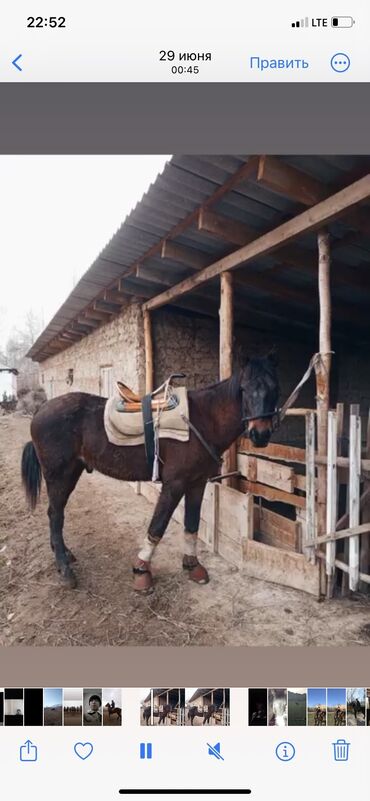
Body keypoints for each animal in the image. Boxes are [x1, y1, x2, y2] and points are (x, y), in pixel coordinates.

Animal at [21, 354, 278, 592]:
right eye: (244, 389)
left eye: (275, 388)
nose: (260, 435)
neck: (201, 420)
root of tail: (40, 410)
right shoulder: (174, 484)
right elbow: (157, 527)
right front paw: (141, 571)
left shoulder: (197, 483)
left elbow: (191, 524)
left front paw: (192, 566)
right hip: (58, 476)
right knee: (55, 515)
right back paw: (64, 569)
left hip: (71, 473)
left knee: (55, 514)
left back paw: (65, 554)